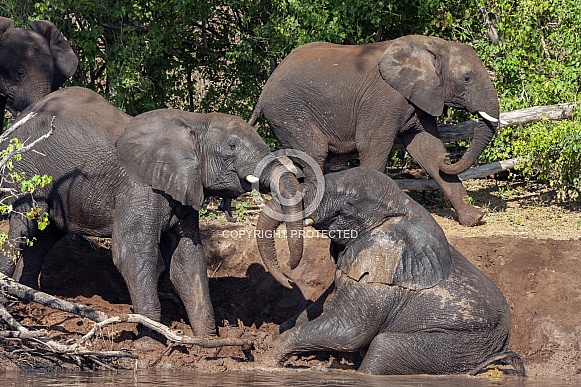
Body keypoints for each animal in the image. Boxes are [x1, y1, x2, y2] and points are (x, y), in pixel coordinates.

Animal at [1, 86, 304, 338]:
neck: (194, 122)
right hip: (24, 169)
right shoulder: (139, 188)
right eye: (232, 146)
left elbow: (187, 259)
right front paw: (152, 342)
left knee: (43, 236)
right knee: (22, 226)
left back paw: (28, 296)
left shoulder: (184, 190)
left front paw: (209, 343)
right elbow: (134, 254)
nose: (290, 275)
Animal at [247, 34, 500, 227]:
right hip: (288, 112)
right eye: (466, 78)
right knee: (315, 153)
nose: (449, 157)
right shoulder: (384, 99)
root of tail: (263, 92)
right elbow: (372, 147)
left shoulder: (420, 98)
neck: (433, 46)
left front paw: (475, 218)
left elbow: (427, 148)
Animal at [256, 168, 524, 378]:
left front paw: (268, 363)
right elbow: (317, 310)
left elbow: (347, 331)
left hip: (462, 344)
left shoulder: (380, 279)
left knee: (382, 347)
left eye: (348, 204)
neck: (402, 205)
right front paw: (267, 342)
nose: (289, 275)